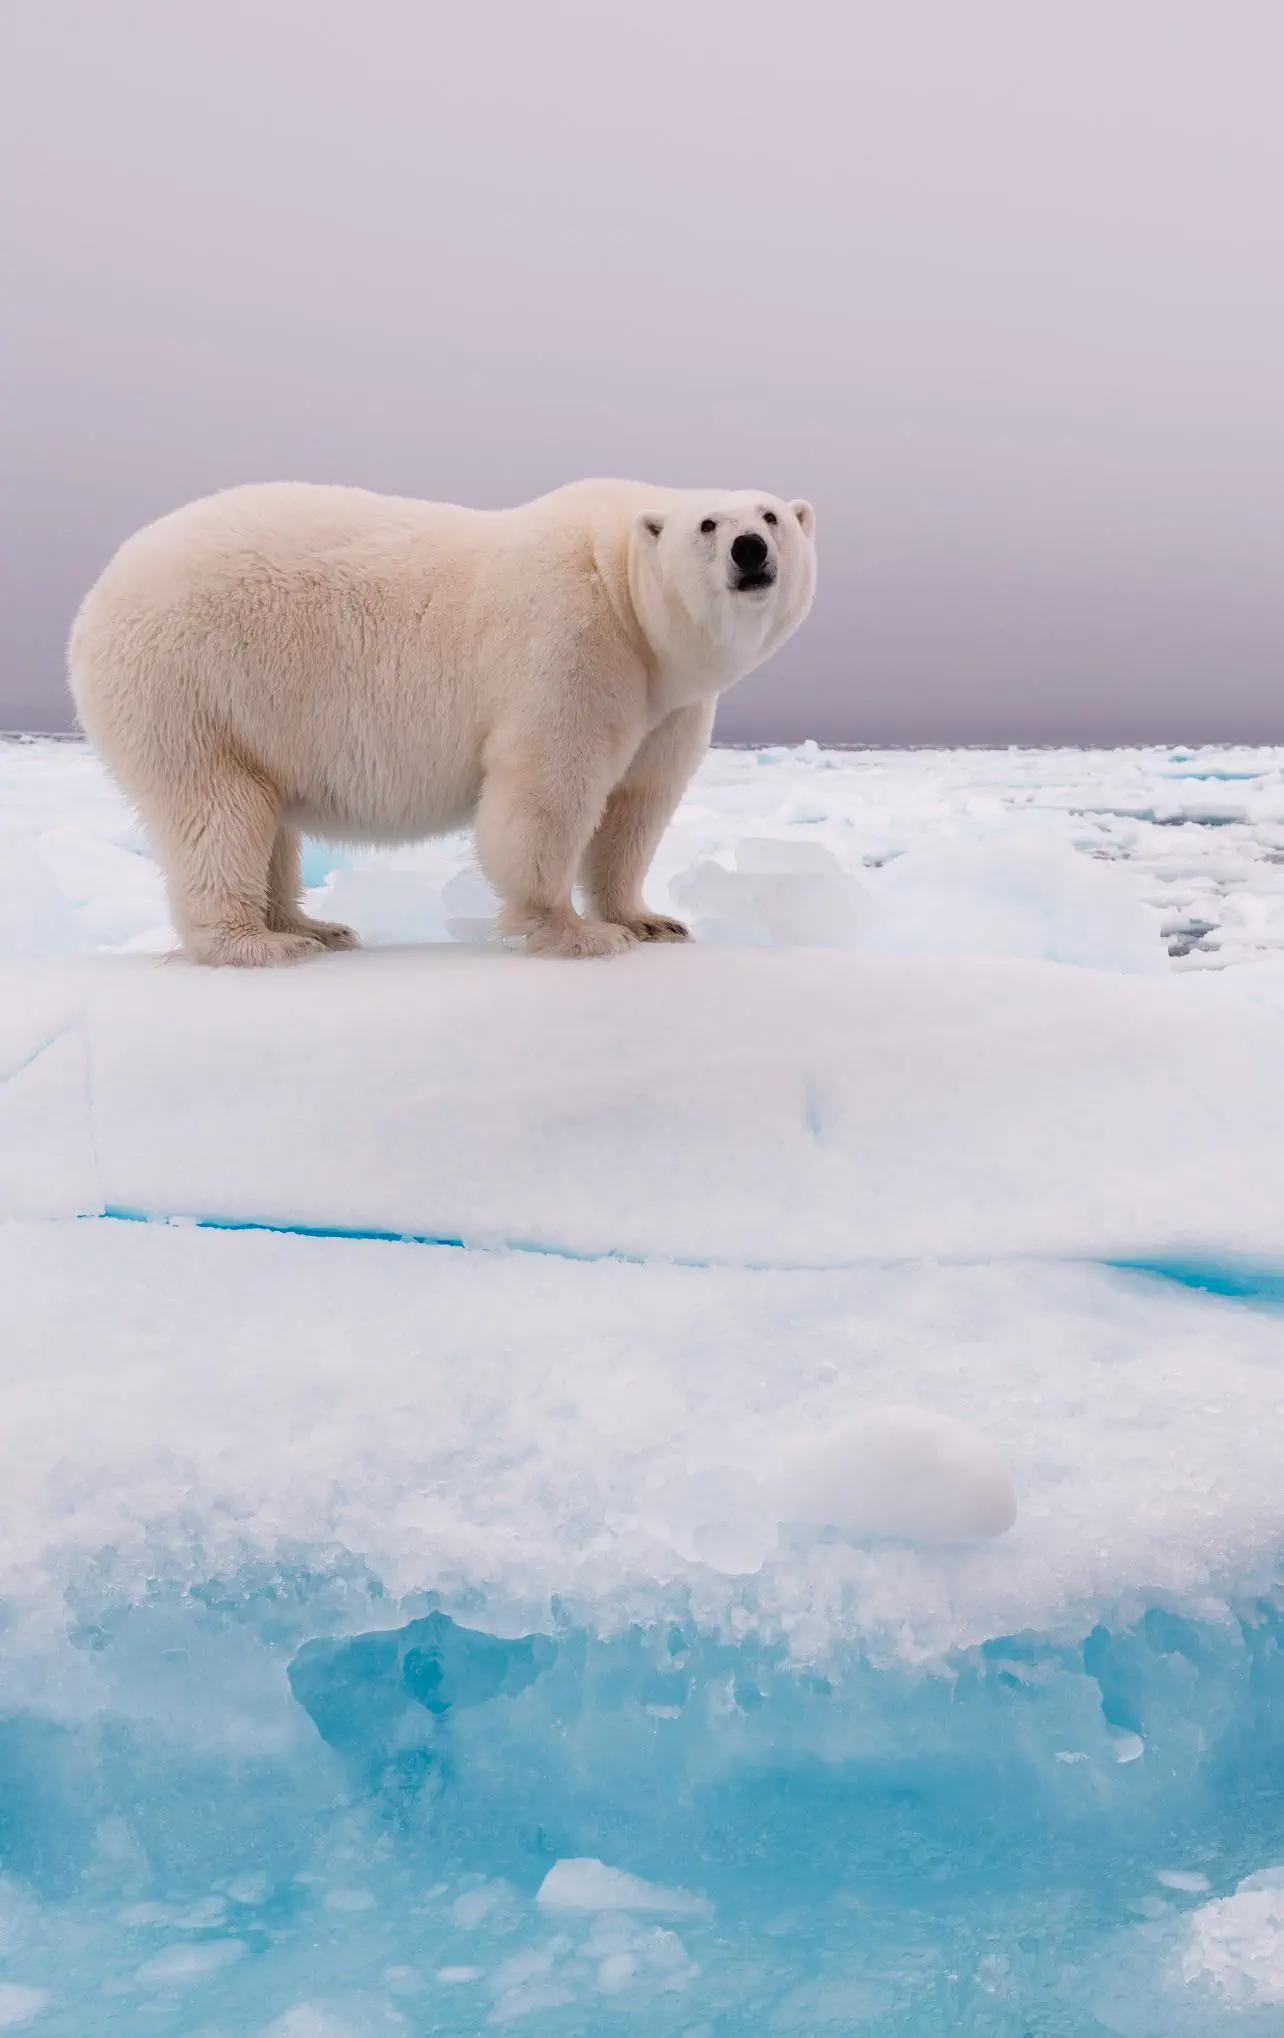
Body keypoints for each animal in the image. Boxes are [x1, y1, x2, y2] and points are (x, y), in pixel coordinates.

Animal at [68, 479, 817, 965]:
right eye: (707, 525)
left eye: (771, 515)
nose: (751, 548)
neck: (620, 582)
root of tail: (95, 600)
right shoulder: (573, 641)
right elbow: (548, 790)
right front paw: (576, 933)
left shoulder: (667, 700)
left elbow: (639, 804)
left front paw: (651, 920)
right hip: (191, 684)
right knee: (218, 809)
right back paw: (256, 942)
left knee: (265, 815)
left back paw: (315, 926)